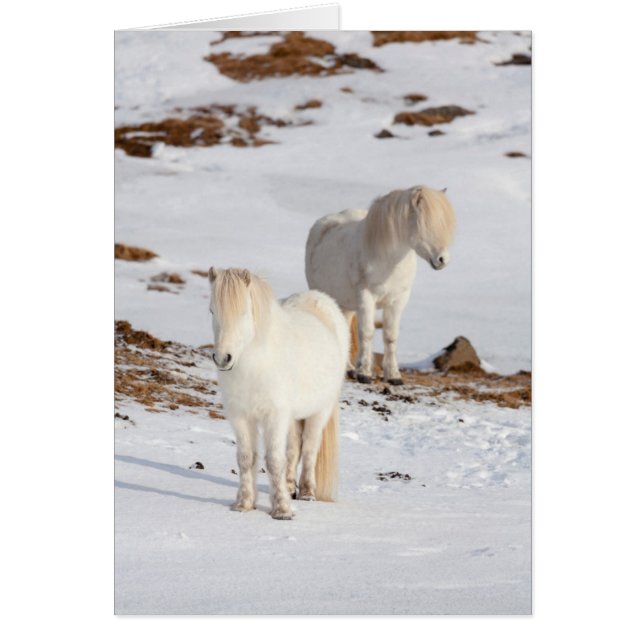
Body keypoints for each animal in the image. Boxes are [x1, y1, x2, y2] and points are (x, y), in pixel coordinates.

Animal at [208, 268, 349, 520]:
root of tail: (320, 299)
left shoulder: (274, 416)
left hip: (319, 411)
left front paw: (282, 510)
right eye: (212, 310)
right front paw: (244, 504)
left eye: (243, 312)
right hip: (292, 417)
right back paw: (291, 486)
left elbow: (274, 460)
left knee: (310, 447)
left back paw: (307, 493)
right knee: (294, 449)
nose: (223, 358)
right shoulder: (240, 417)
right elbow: (246, 459)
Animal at [305, 185, 455, 385]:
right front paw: (364, 374)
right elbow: (367, 333)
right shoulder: (366, 297)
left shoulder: (398, 300)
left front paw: (393, 376)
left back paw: (348, 369)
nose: (442, 259)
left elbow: (390, 336)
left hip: (347, 305)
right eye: (425, 223)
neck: (389, 261)